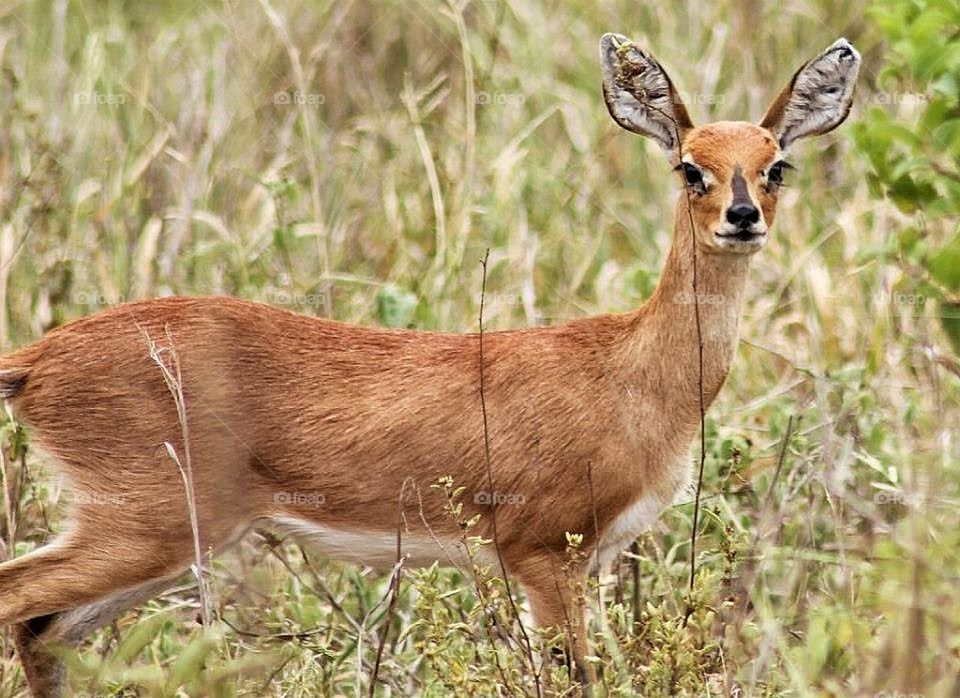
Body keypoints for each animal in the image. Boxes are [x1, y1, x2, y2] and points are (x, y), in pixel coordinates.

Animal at [0, 33, 858, 696]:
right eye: (689, 165)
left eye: (775, 164)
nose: (741, 217)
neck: (630, 375)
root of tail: (36, 357)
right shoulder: (542, 551)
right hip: (150, 525)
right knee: (20, 599)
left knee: (43, 628)